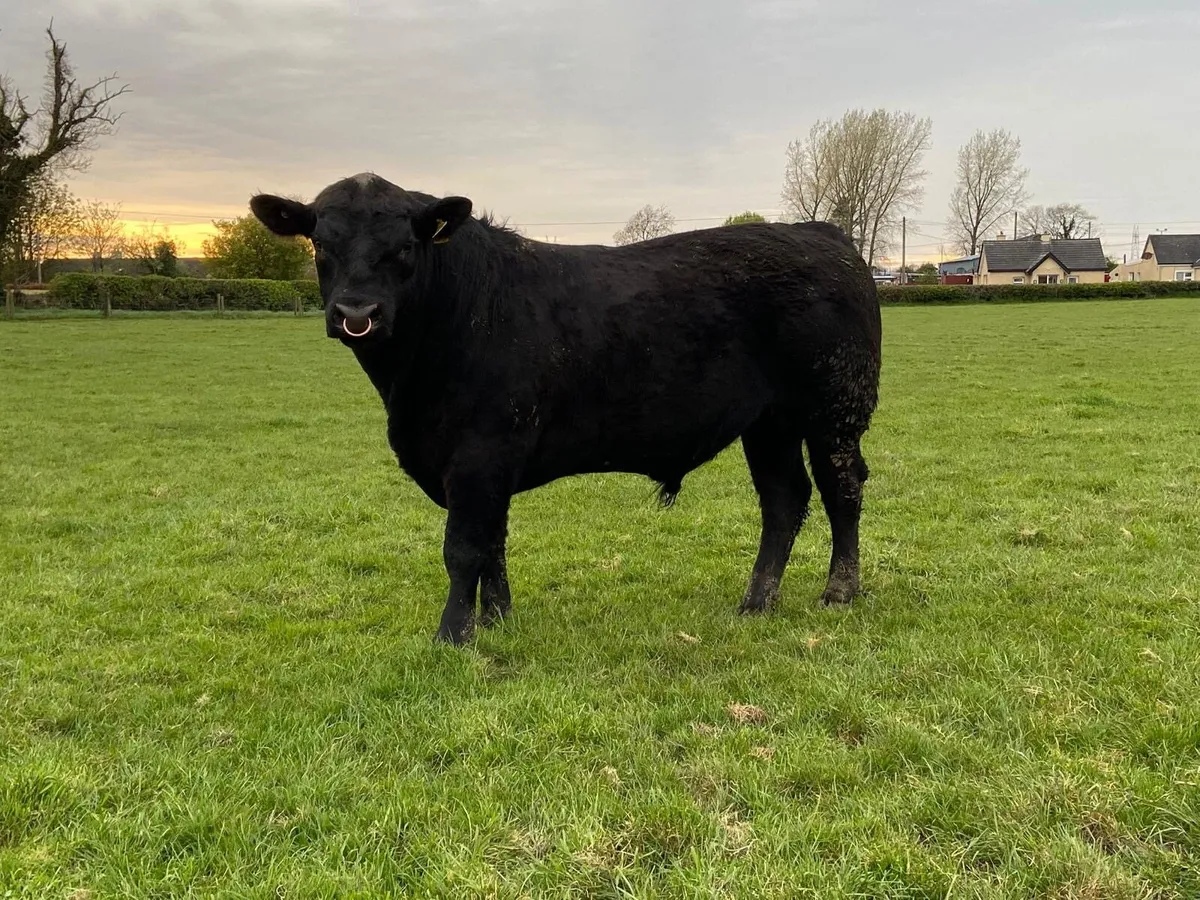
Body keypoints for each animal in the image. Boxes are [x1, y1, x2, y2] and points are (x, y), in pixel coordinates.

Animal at [250, 173, 882, 645]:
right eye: (320, 245)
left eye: (405, 247)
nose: (357, 313)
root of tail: (818, 233)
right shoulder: (486, 463)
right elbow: (493, 544)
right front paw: (497, 620)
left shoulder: (481, 453)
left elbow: (464, 548)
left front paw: (453, 635)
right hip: (769, 422)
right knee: (784, 499)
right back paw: (756, 602)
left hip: (836, 406)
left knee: (841, 487)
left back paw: (839, 592)